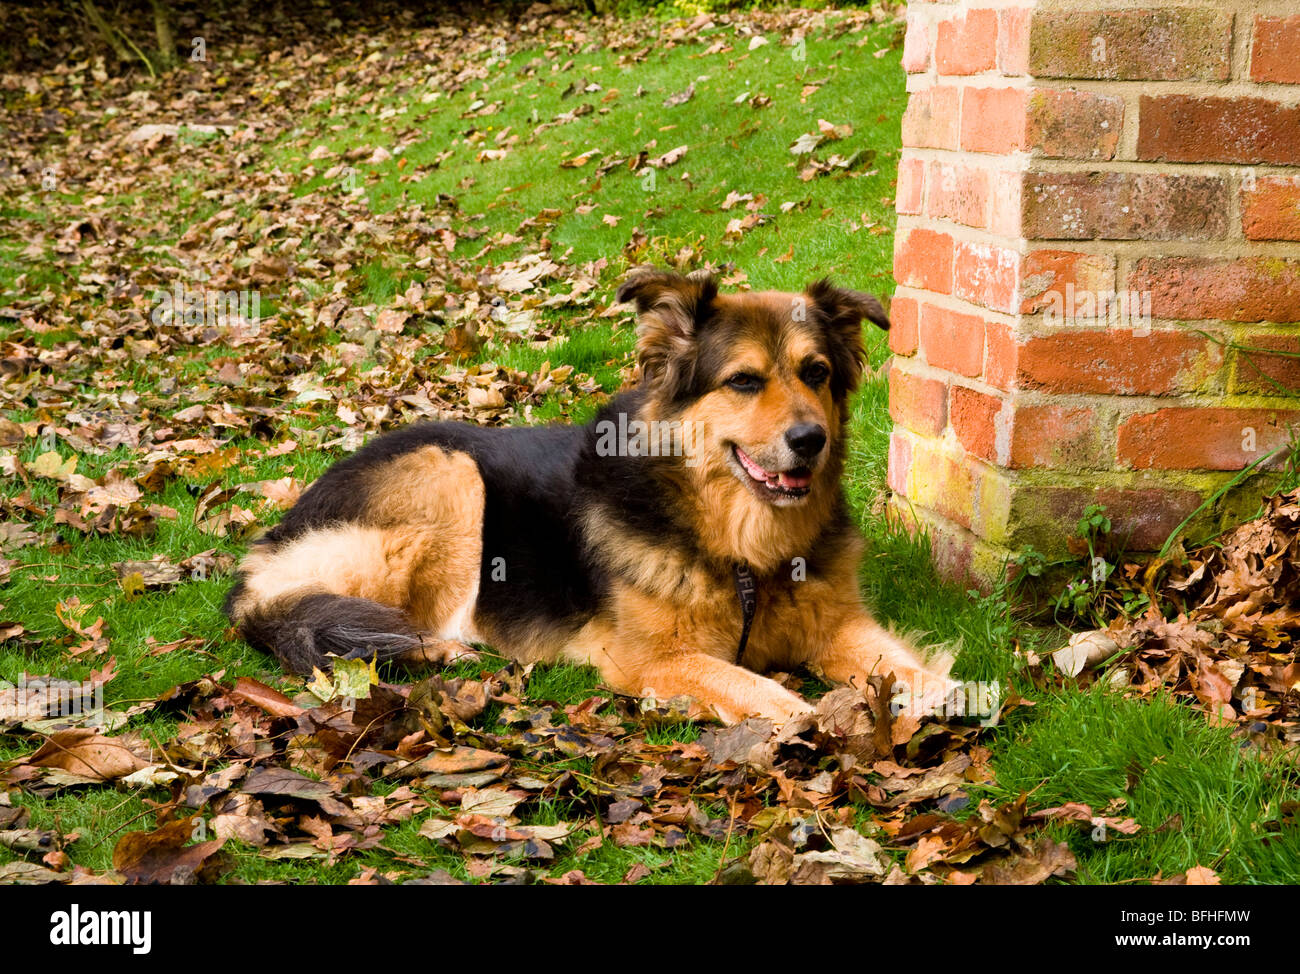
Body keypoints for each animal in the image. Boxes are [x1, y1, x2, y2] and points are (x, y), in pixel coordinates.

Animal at [223, 266, 956, 723]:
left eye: (817, 372)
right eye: (744, 382)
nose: (811, 441)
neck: (741, 544)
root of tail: (263, 552)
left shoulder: (838, 625)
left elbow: (903, 664)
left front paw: (946, 693)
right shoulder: (651, 660)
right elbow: (755, 689)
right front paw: (809, 720)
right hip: (450, 473)